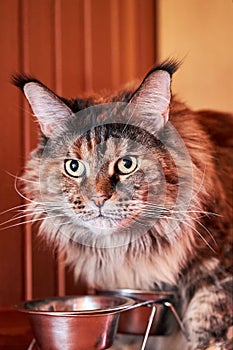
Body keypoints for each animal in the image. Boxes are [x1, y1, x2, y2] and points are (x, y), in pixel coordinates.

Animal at [13, 60, 232, 350]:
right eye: (73, 167)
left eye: (127, 164)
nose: (98, 198)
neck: (131, 249)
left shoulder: (218, 274)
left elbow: (207, 334)